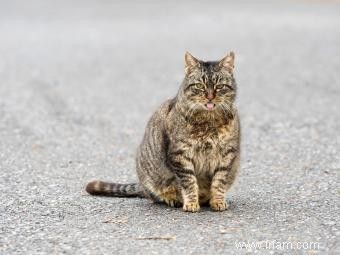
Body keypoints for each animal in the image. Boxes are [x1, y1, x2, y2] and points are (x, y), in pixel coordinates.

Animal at [87, 51, 242, 211]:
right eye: (199, 85)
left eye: (220, 86)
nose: (210, 97)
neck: (209, 120)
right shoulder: (180, 154)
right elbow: (189, 182)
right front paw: (191, 203)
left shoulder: (227, 155)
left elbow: (219, 181)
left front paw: (217, 201)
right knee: (155, 195)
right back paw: (173, 199)